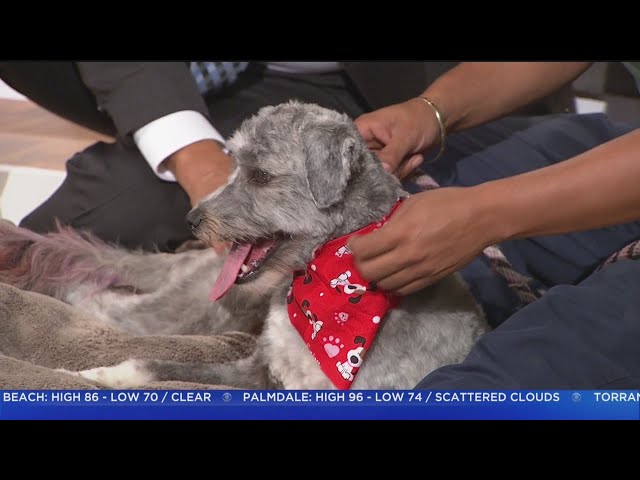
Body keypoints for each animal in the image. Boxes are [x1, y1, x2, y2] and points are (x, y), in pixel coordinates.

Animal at [0, 101, 488, 389]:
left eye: (261, 175)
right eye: (233, 163)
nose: (192, 220)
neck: (327, 288)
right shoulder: (259, 368)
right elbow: (154, 365)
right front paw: (102, 373)